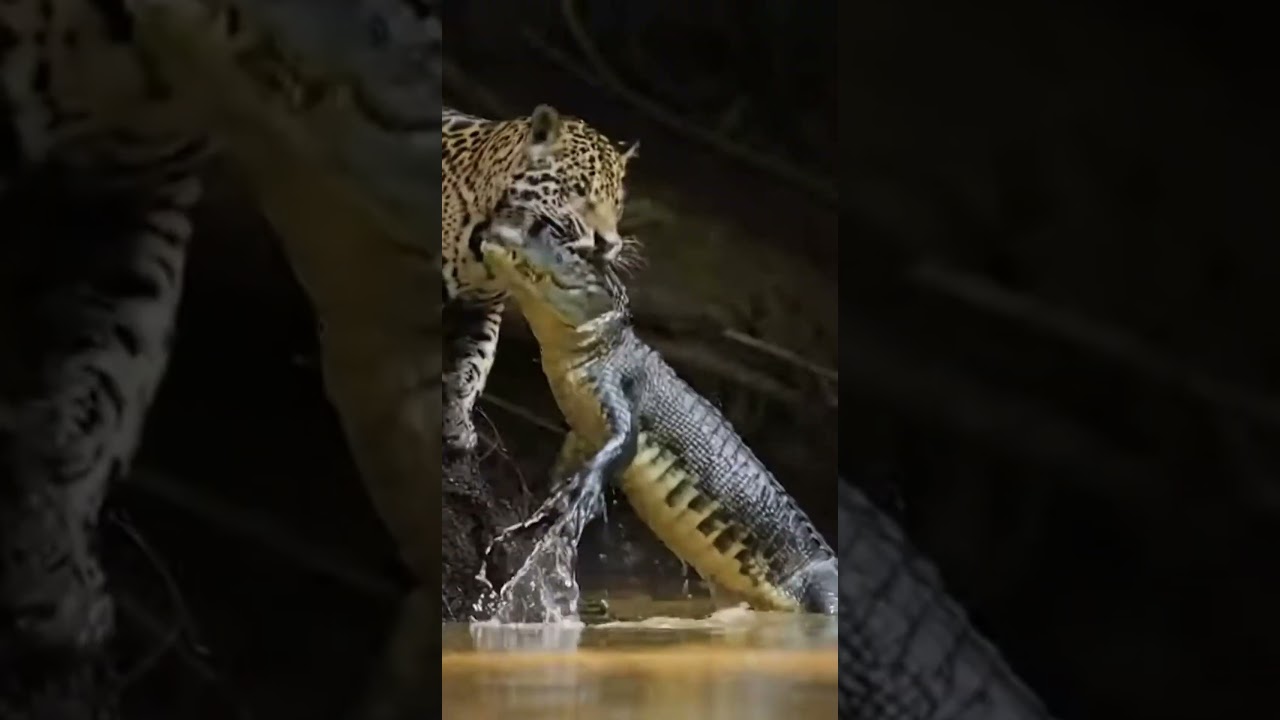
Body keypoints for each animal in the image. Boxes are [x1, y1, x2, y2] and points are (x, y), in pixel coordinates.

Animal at [441, 103, 639, 471]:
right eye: (578, 189)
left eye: (617, 203)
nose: (609, 243)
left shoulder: (482, 305)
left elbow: (471, 364)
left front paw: (458, 424)